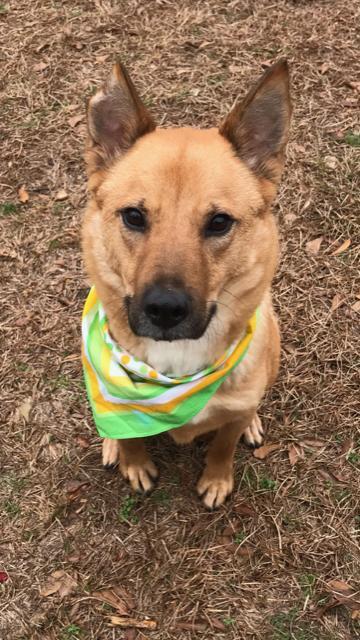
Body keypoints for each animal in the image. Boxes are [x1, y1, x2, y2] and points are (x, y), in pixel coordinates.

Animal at [81, 60, 290, 510]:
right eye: (134, 216)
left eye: (219, 222)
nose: (165, 309)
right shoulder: (118, 400)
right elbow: (131, 439)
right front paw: (132, 460)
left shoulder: (233, 412)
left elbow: (223, 444)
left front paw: (216, 479)